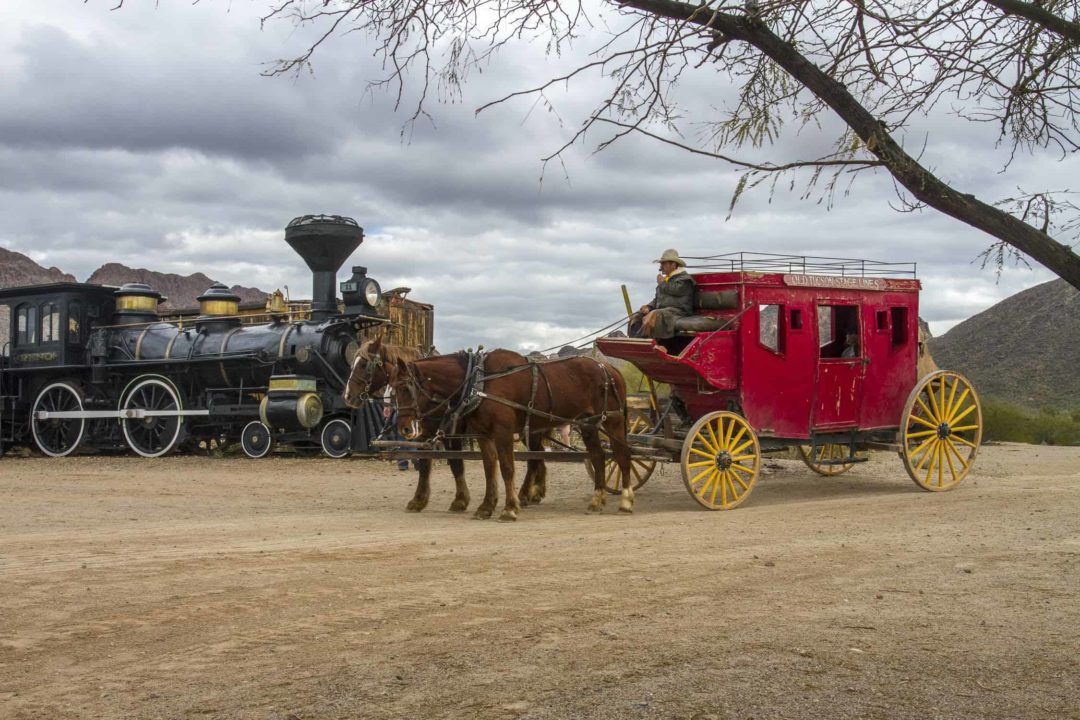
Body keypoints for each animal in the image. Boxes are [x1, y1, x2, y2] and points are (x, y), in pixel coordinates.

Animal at [341, 338, 468, 511]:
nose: (348, 396)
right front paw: (418, 500)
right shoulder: (426, 431)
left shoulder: (451, 433)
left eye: (363, 365)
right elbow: (424, 462)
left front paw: (460, 500)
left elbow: (456, 463)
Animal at [393, 347, 630, 518]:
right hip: (587, 424)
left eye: (405, 388)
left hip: (613, 421)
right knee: (598, 457)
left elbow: (506, 468)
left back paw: (626, 500)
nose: (404, 427)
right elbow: (489, 468)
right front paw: (486, 506)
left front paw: (509, 508)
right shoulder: (484, 435)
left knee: (622, 455)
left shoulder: (502, 433)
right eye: (393, 389)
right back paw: (597, 499)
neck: (479, 383)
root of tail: (608, 367)